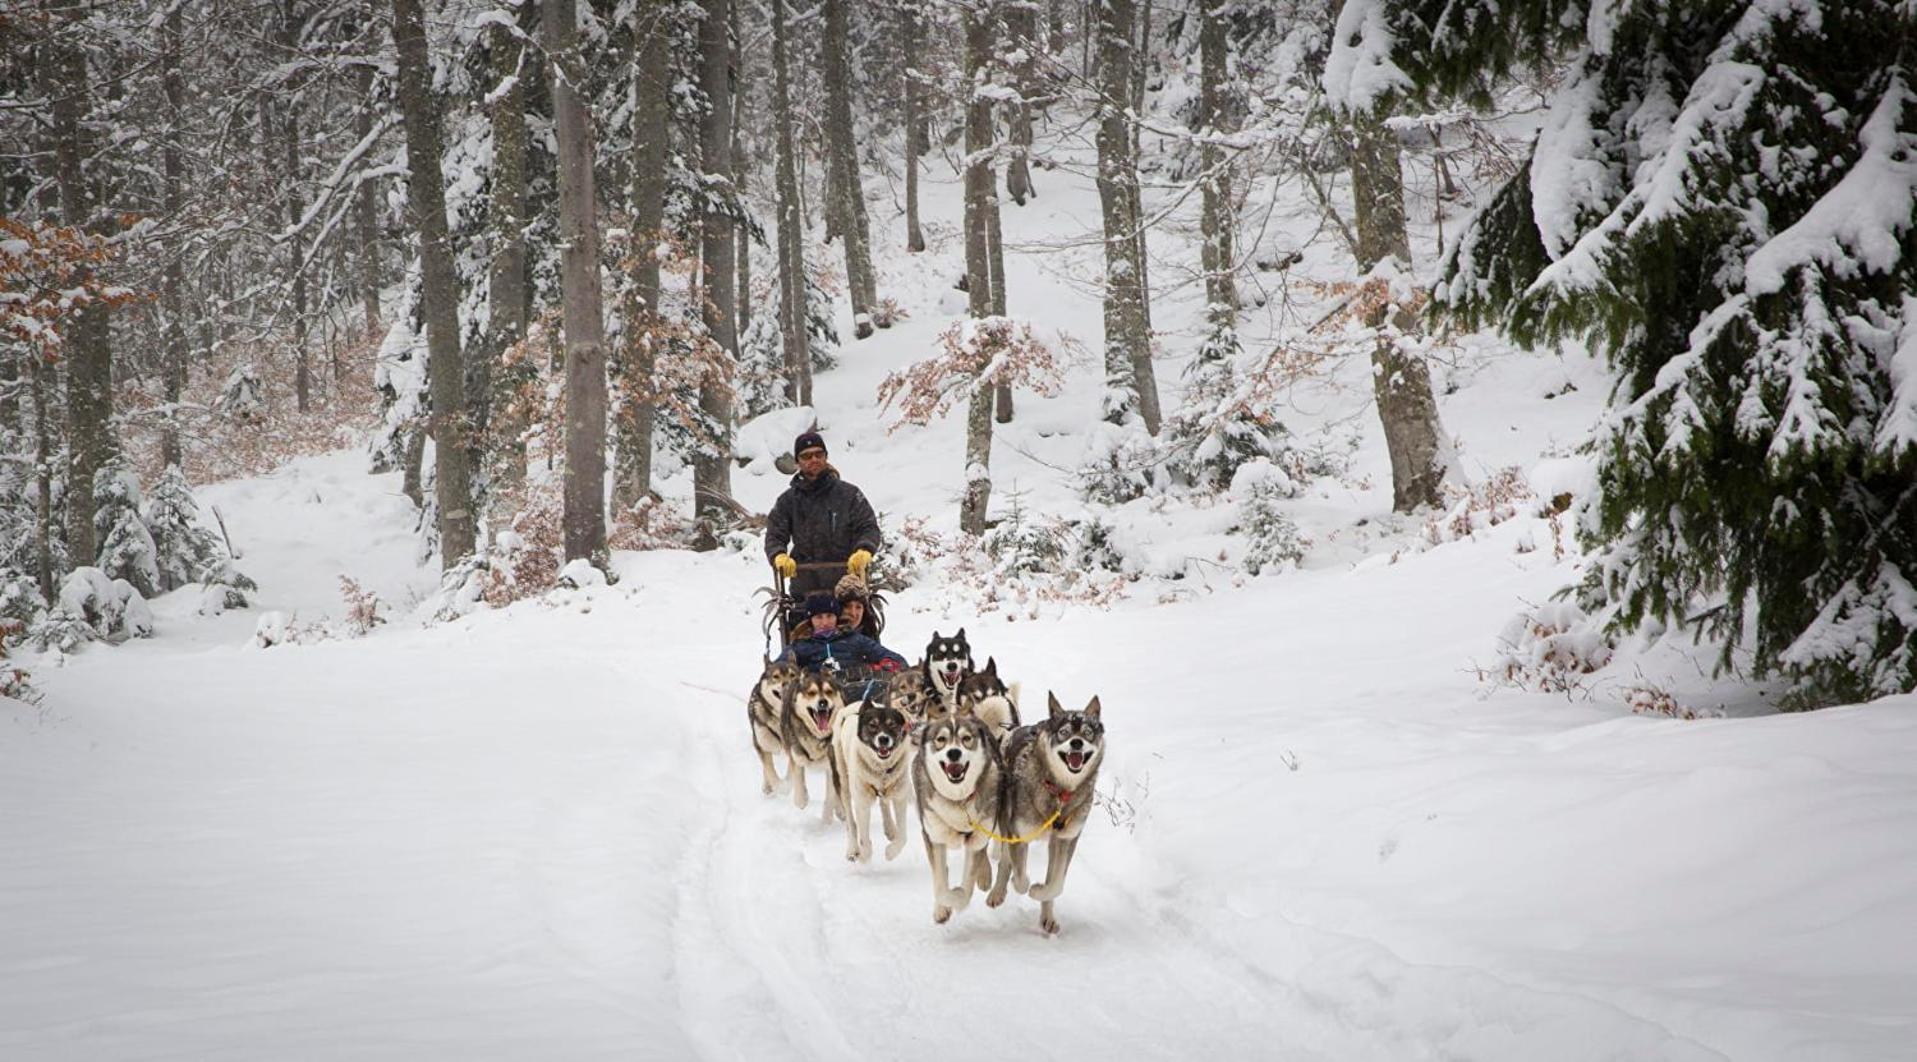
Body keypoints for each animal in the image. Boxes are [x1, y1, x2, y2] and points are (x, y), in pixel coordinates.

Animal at [747, 655, 801, 789]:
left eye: (792, 675)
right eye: (776, 676)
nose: (787, 683)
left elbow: (791, 771)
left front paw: (787, 784)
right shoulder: (761, 744)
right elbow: (769, 770)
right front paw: (779, 787)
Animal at [778, 670, 847, 816]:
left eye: (829, 691)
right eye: (811, 692)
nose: (823, 702)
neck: (816, 736)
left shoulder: (831, 764)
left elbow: (832, 793)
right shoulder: (797, 756)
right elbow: (799, 785)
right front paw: (802, 799)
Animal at [828, 693, 908, 858]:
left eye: (892, 725)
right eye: (872, 725)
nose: (883, 739)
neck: (881, 770)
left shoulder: (900, 796)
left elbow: (903, 837)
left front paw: (891, 852)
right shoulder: (862, 801)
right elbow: (863, 838)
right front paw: (864, 855)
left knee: (884, 804)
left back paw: (890, 828)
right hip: (843, 781)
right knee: (850, 820)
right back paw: (852, 849)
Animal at [989, 693, 1111, 935]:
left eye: (1087, 733)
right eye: (1064, 732)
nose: (1076, 742)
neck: (1059, 792)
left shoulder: (1065, 840)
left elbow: (1055, 885)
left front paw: (1041, 897)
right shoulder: (1019, 834)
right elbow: (1020, 879)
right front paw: (1025, 885)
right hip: (1006, 821)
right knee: (1005, 859)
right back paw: (998, 892)